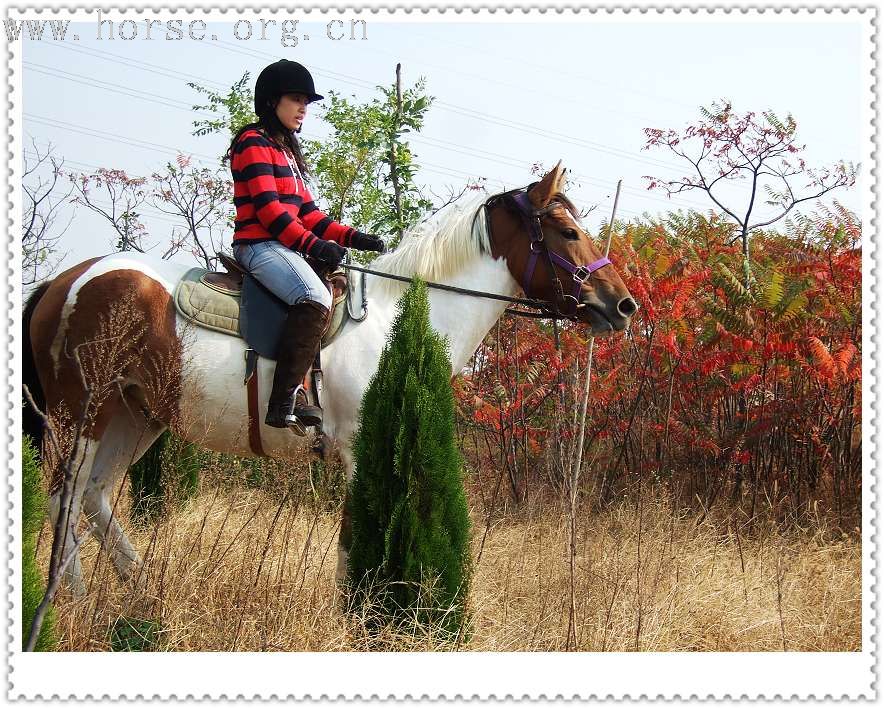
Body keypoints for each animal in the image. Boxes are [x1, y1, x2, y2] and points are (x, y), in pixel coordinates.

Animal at [22, 165, 636, 592]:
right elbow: (351, 547)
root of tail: (66, 280)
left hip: (136, 416)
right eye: (565, 230)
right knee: (64, 501)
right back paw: (73, 600)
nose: (623, 304)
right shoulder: (362, 450)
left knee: (95, 498)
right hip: (82, 416)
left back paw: (141, 589)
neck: (398, 313)